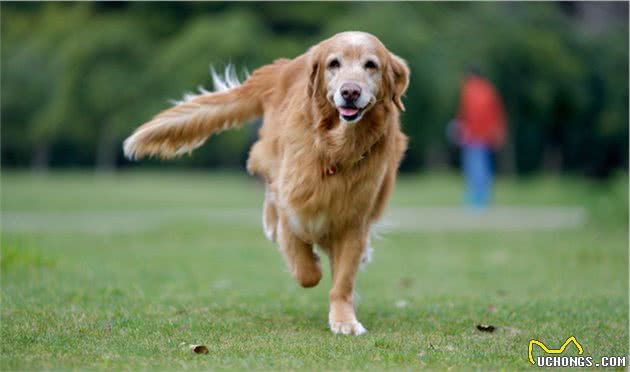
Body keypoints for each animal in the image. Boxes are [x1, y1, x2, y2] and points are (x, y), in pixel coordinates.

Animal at [124, 30, 410, 336]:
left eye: (371, 65)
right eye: (334, 64)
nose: (350, 92)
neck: (335, 148)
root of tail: (283, 66)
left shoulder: (354, 220)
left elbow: (343, 280)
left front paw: (344, 320)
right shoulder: (293, 204)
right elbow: (306, 269)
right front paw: (312, 263)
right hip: (269, 155)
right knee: (270, 193)